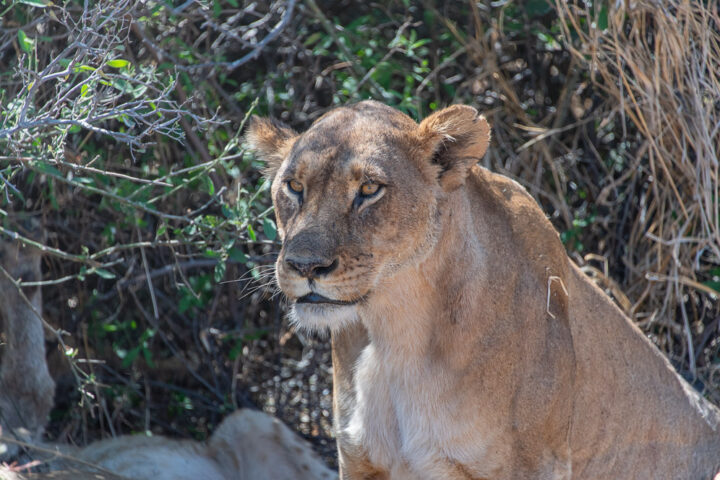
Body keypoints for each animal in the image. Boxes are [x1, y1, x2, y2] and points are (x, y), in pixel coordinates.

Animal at [247, 100, 720, 479]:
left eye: (369, 189)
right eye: (294, 187)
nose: (305, 265)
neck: (394, 331)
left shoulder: (534, 465)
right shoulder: (359, 459)